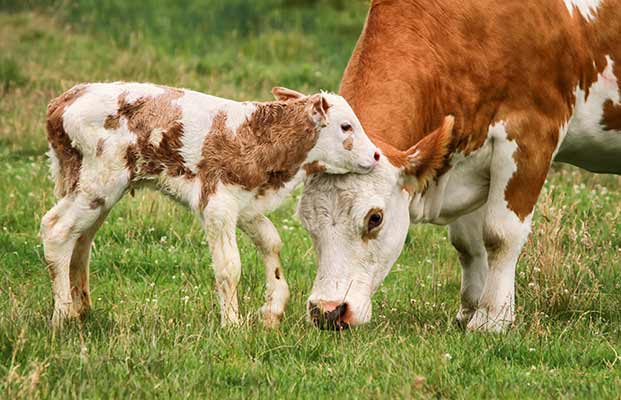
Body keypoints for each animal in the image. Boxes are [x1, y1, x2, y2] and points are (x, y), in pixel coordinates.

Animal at [41, 81, 378, 328]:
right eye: (346, 126)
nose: (376, 155)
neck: (256, 137)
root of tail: (63, 101)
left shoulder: (246, 203)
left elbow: (271, 242)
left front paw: (273, 308)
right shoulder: (217, 204)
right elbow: (229, 266)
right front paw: (232, 324)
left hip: (97, 191)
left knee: (81, 240)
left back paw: (83, 309)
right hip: (98, 183)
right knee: (56, 229)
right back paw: (63, 316)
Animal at [296, 0, 620, 332]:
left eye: (375, 218)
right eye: (305, 221)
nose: (328, 311)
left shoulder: (531, 135)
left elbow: (501, 234)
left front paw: (491, 318)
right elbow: (468, 242)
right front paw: (470, 310)